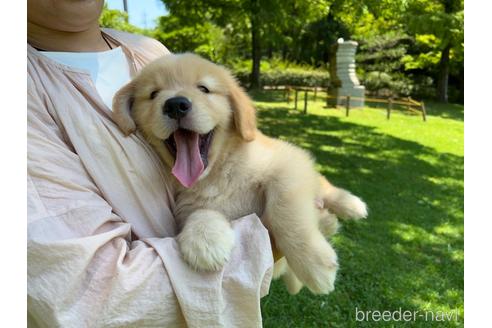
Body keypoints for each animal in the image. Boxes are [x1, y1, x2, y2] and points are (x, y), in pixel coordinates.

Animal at [111, 53, 366, 294]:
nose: (175, 105)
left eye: (204, 88)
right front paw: (204, 241)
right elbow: (202, 212)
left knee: (326, 187)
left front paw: (315, 264)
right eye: (153, 94)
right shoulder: (188, 205)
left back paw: (352, 206)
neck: (217, 172)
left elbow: (285, 211)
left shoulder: (287, 162)